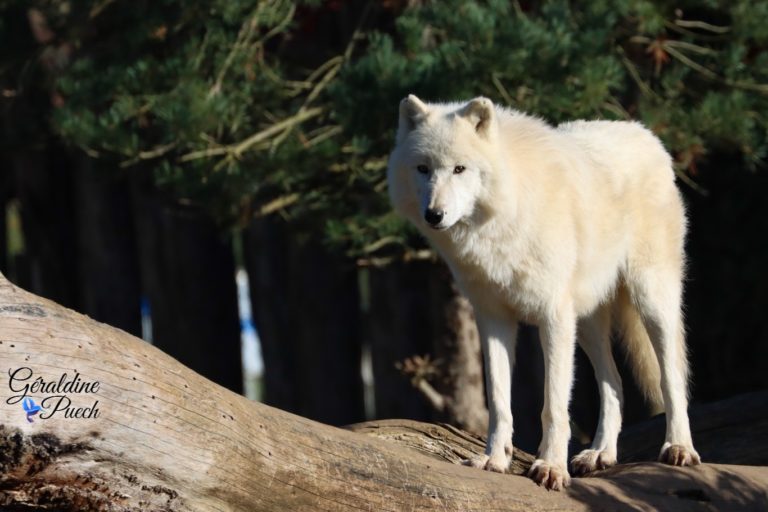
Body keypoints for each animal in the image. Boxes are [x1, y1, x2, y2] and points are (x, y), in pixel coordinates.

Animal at [388, 94, 700, 490]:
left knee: (671, 375)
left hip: (650, 301)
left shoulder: (552, 316)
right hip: (586, 323)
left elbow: (552, 406)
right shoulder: (493, 319)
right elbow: (499, 403)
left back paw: (679, 447)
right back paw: (600, 454)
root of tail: (644, 133)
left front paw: (550, 466)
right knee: (614, 383)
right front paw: (495, 459)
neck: (501, 221)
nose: (434, 214)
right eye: (423, 168)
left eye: (459, 169)